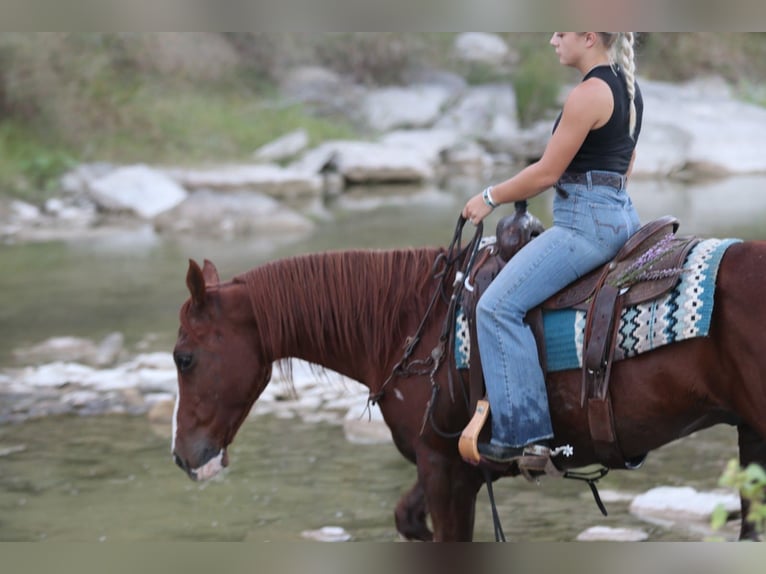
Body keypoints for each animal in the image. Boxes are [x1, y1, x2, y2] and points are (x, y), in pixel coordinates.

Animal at [171, 217, 766, 541]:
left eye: (184, 357)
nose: (182, 455)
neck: (412, 321)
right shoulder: (449, 463)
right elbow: (407, 518)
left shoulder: (444, 470)